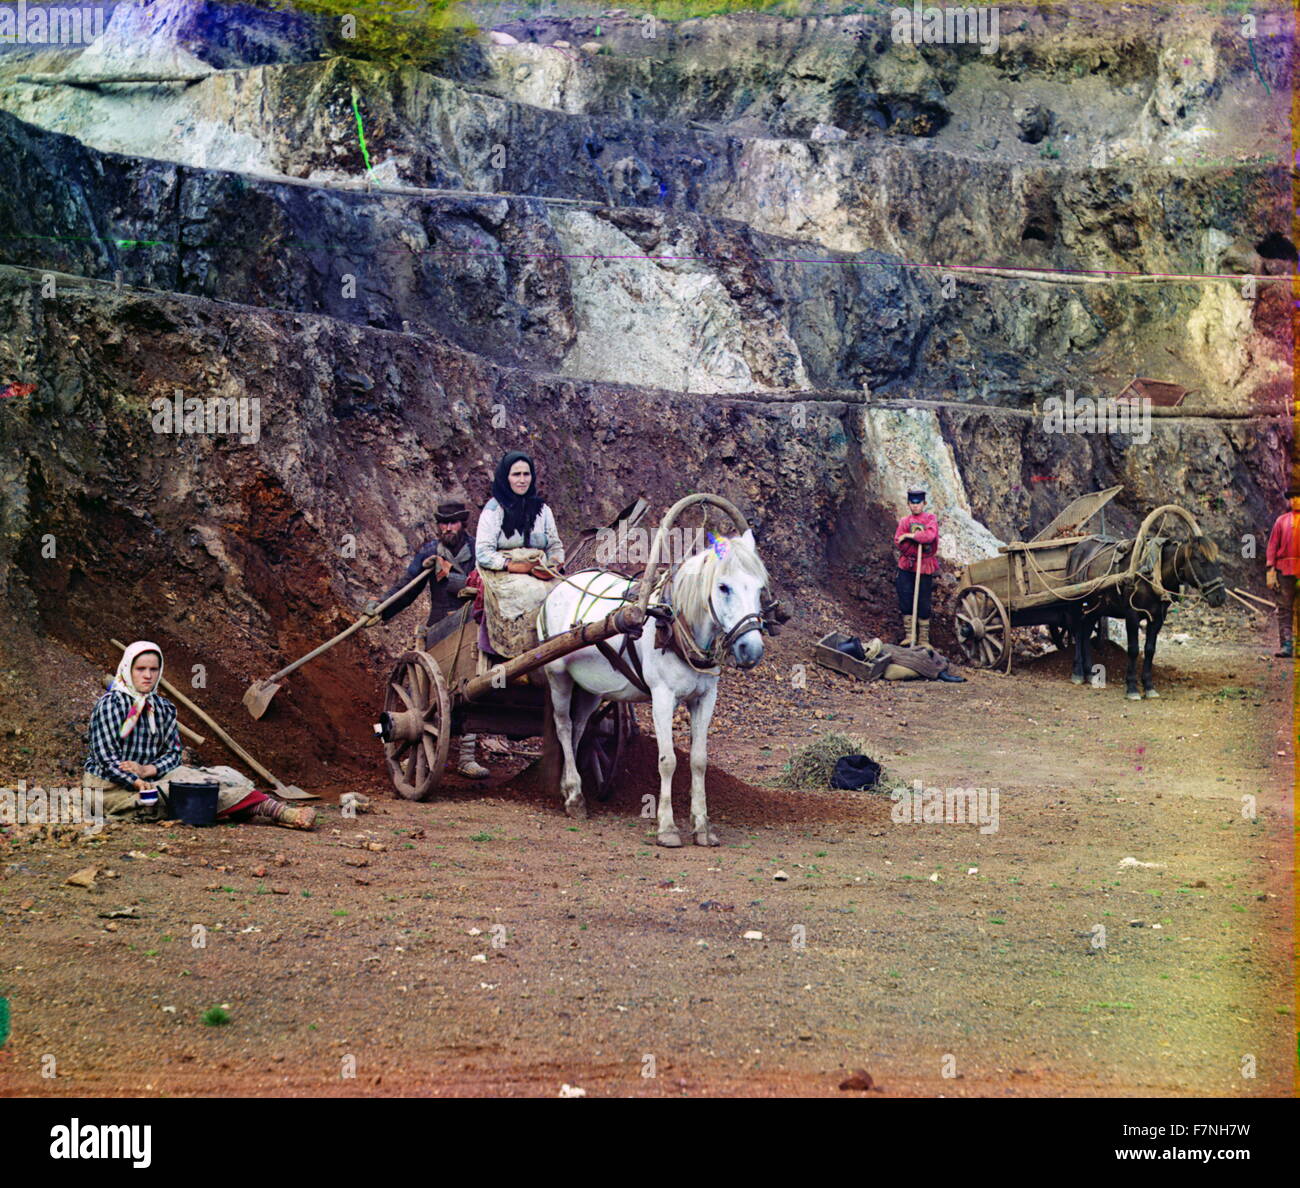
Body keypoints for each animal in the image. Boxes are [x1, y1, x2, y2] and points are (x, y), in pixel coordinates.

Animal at [535, 527, 764, 842]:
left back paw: (571, 786)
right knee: (564, 726)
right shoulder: (663, 697)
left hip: (592, 687)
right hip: (558, 675)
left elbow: (699, 760)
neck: (675, 625)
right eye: (723, 587)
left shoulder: (706, 697)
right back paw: (574, 798)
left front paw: (702, 826)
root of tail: (558, 588)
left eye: (759, 588)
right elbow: (667, 761)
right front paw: (667, 827)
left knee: (580, 726)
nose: (751, 649)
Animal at [1060, 535, 1222, 696]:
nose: (1221, 596)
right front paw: (1132, 687)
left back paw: (1090, 673)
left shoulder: (1158, 618)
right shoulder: (1132, 615)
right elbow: (1133, 650)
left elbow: (1150, 649)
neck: (1152, 573)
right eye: (1202, 561)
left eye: (1218, 561)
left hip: (1097, 607)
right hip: (1075, 601)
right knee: (1078, 630)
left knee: (1086, 629)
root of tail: (1078, 547)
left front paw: (1149, 686)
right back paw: (1078, 672)